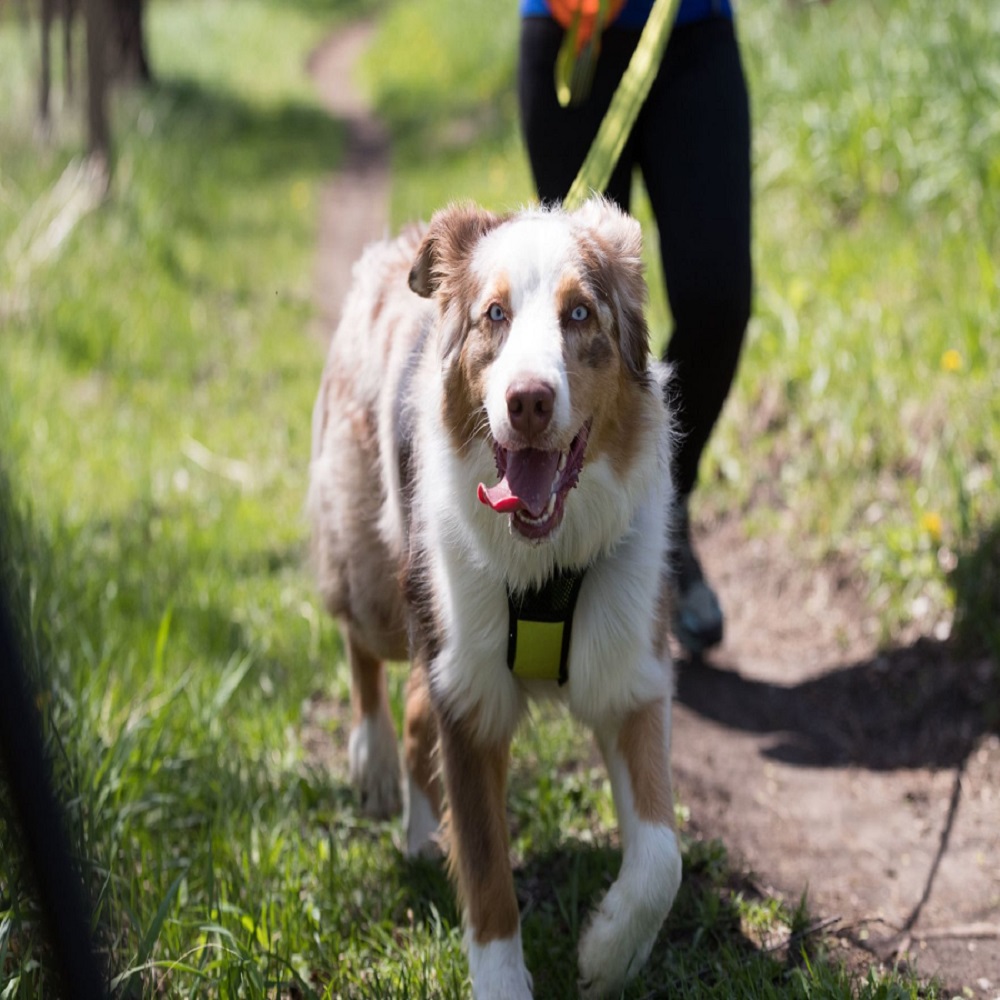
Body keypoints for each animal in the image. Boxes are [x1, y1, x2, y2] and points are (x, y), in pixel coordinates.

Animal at [308, 199, 684, 996]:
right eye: (494, 314)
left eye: (580, 313)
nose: (529, 401)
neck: (543, 563)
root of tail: (394, 246)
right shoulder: (472, 702)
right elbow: (486, 879)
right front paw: (507, 977)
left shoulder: (628, 671)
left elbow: (661, 861)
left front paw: (606, 953)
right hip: (382, 581)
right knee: (363, 649)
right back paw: (372, 762)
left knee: (415, 710)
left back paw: (420, 833)